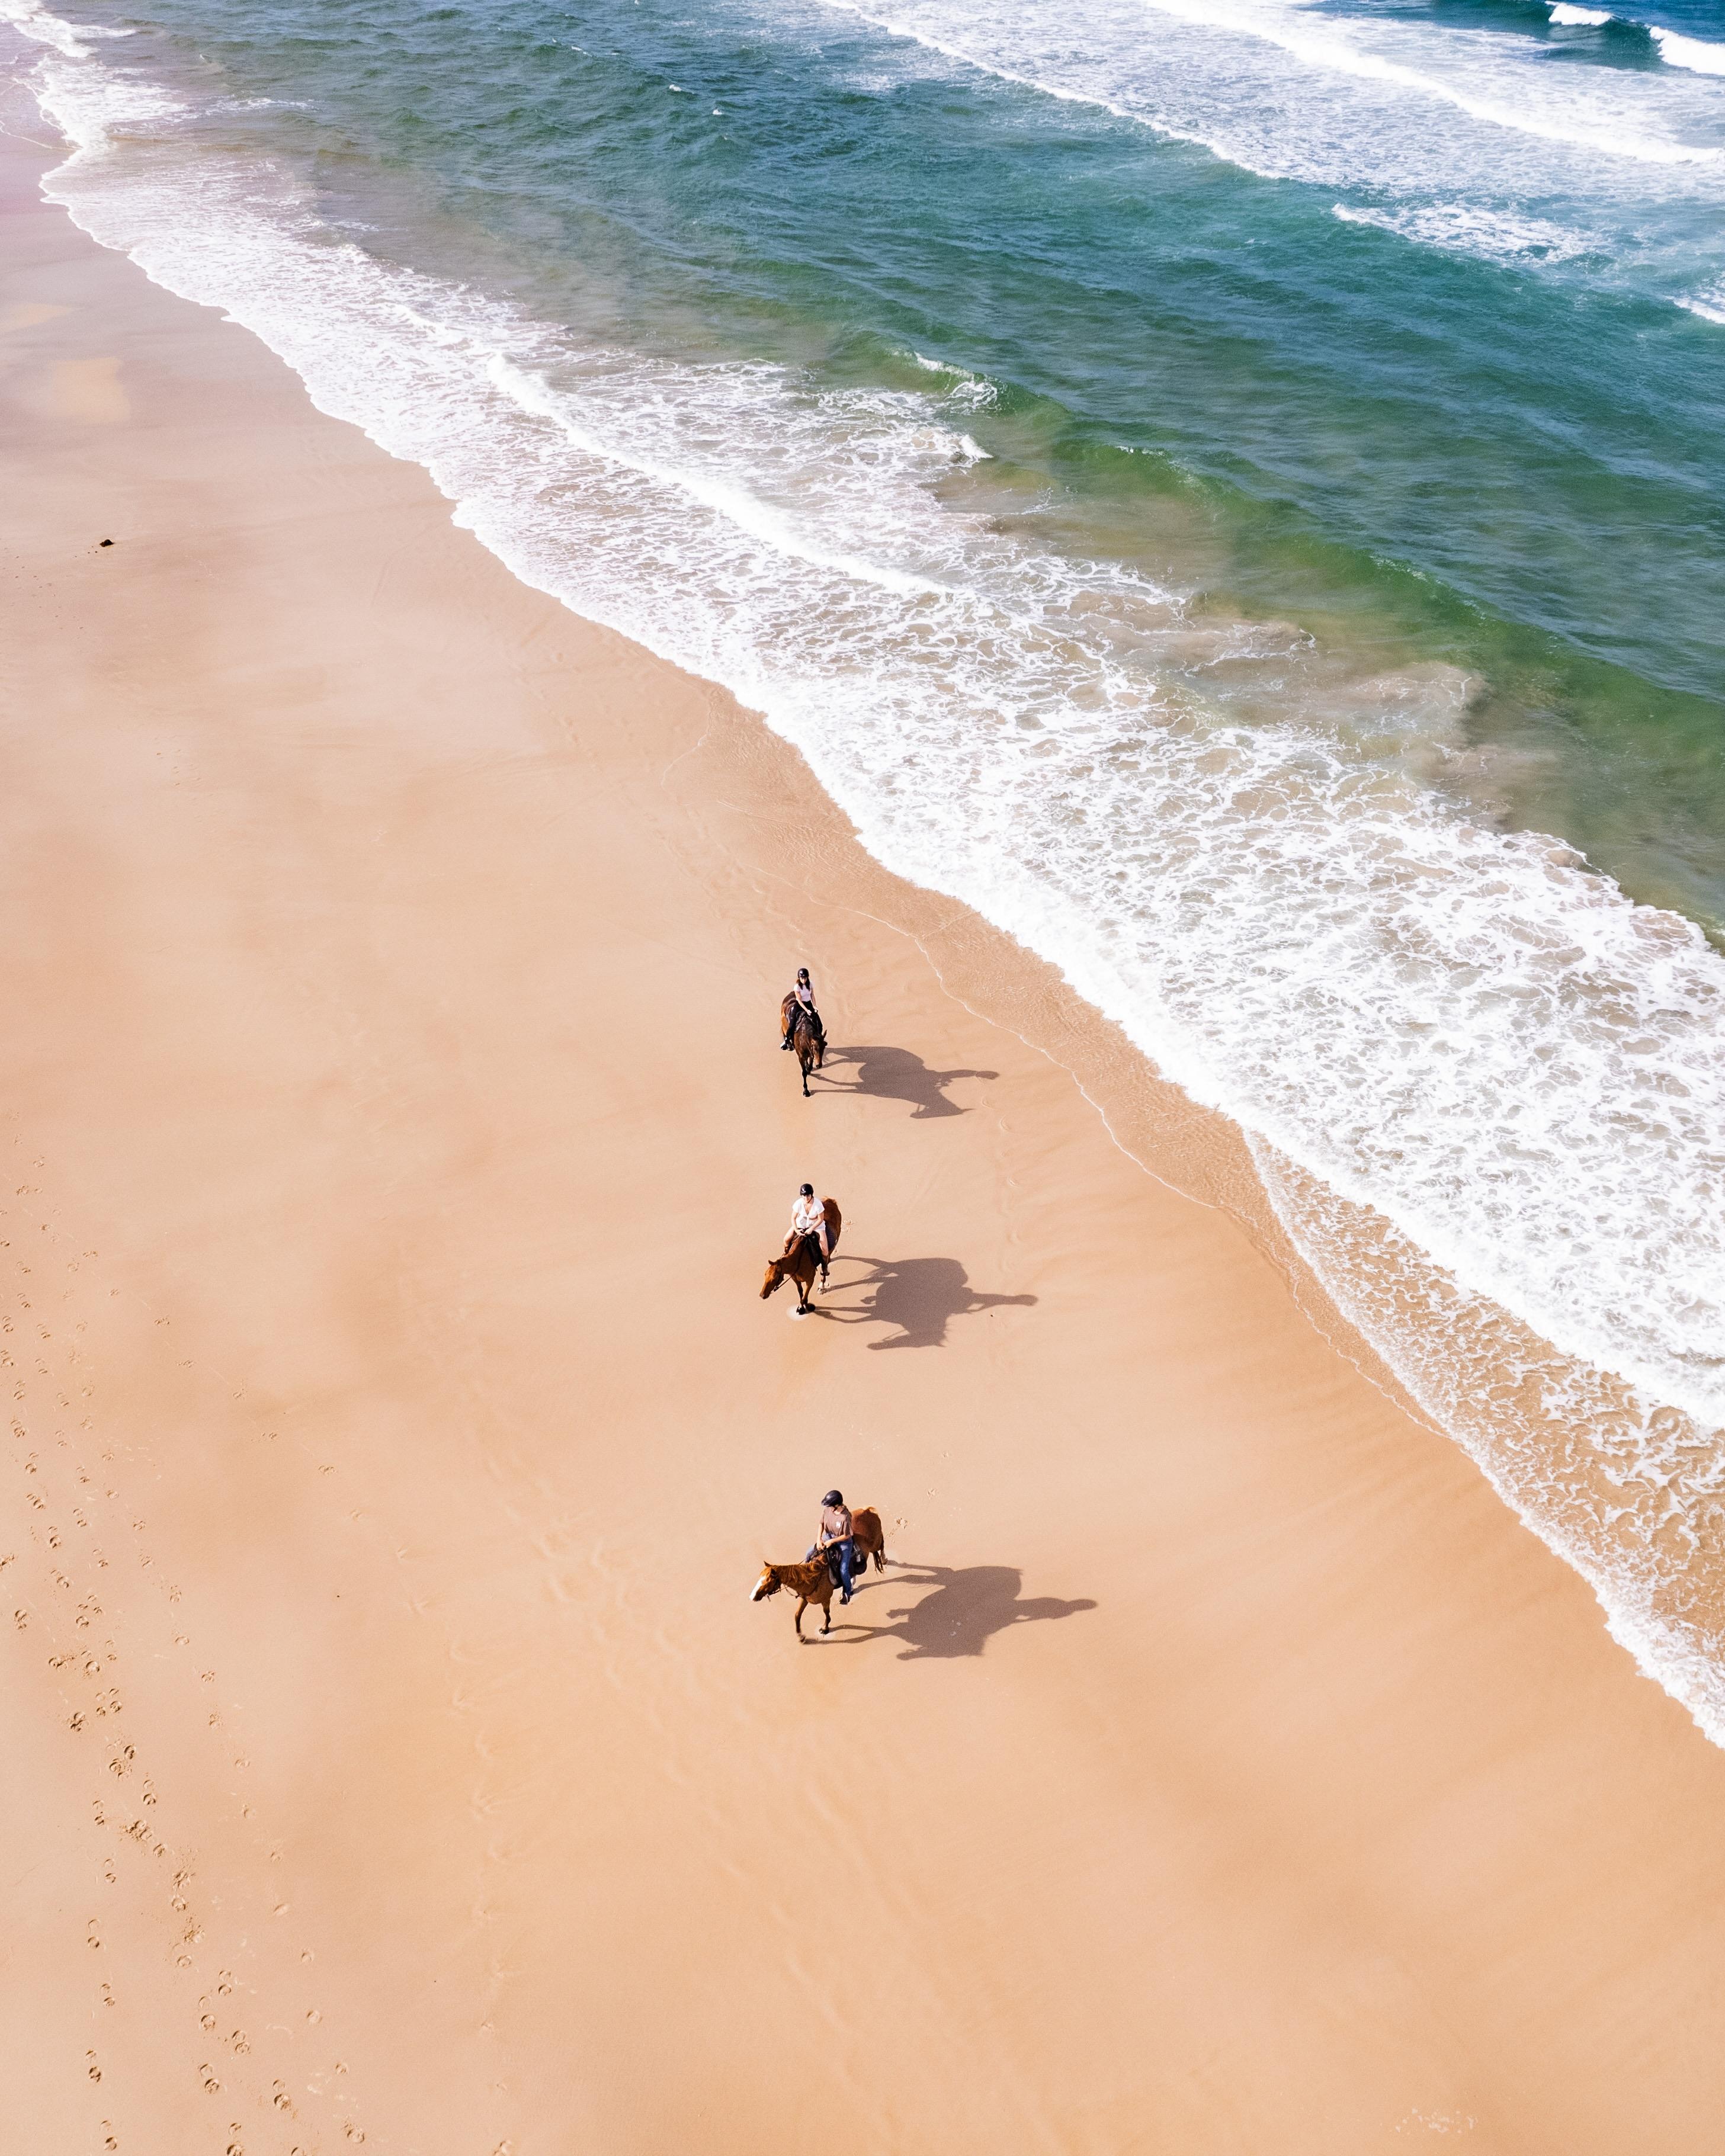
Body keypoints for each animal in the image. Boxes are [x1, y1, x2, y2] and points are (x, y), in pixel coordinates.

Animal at [751, 1507, 887, 1638]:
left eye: (768, 1581)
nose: (752, 1597)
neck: (812, 1579)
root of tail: (867, 1510)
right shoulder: (805, 1599)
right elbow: (797, 1615)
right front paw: (801, 1636)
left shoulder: (825, 1600)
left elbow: (827, 1614)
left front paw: (825, 1629)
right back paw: (850, 1590)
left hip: (876, 1544)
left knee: (881, 1546)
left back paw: (884, 1560)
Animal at [760, 1198, 842, 1315]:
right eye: (765, 1275)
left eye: (774, 1278)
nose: (762, 1295)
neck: (797, 1261)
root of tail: (831, 1201)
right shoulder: (796, 1279)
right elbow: (801, 1293)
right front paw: (804, 1306)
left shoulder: (810, 1280)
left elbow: (804, 1297)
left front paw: (804, 1308)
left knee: (825, 1263)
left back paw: (822, 1286)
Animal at [782, 994, 825, 1097]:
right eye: (815, 1048)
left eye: (825, 1046)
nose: (819, 1065)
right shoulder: (801, 1057)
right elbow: (804, 1072)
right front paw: (806, 1091)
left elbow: (809, 1064)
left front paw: (809, 1067)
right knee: (785, 1033)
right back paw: (787, 1045)